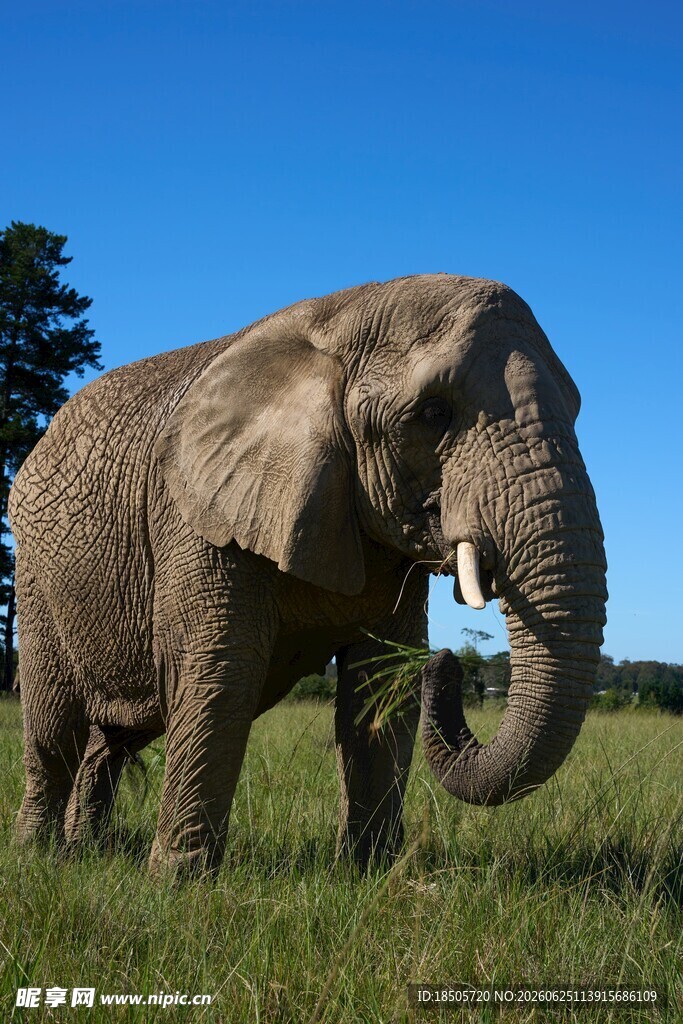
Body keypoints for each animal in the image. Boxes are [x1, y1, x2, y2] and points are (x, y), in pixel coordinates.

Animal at [8, 273, 607, 877]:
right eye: (435, 413)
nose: (449, 662)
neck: (340, 317)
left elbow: (379, 684)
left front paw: (367, 874)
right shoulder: (195, 516)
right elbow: (219, 672)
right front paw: (179, 883)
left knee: (113, 737)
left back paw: (89, 852)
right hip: (36, 576)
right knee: (55, 727)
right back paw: (40, 857)